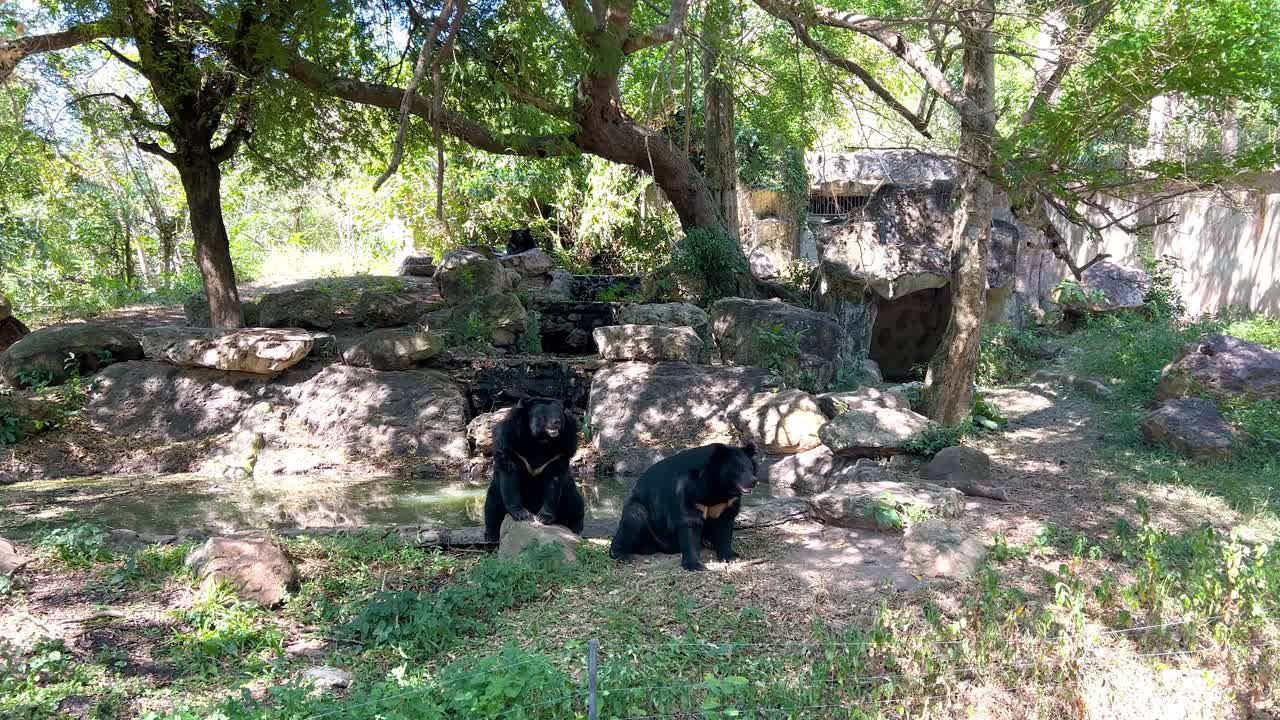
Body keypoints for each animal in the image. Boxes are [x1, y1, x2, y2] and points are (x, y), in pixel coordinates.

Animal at [483, 397, 585, 542]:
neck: (540, 441)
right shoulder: (510, 442)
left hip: (568, 491)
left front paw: (544, 517)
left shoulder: (563, 448)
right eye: (544, 416)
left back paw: (575, 528)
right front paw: (521, 514)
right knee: (492, 505)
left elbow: (554, 480)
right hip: (496, 490)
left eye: (559, 414)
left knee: (574, 503)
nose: (556, 422)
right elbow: (509, 475)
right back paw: (491, 534)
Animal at [609, 442, 758, 571]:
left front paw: (731, 556)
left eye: (751, 468)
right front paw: (695, 565)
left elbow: (725, 525)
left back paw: (709, 542)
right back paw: (621, 554)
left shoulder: (727, 503)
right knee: (633, 520)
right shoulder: (688, 490)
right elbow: (690, 523)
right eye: (739, 469)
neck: (719, 488)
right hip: (643, 510)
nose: (753, 481)